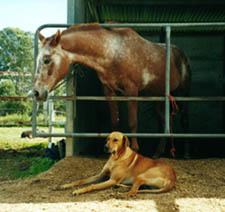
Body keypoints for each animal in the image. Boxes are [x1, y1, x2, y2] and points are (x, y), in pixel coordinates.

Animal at [30, 23, 192, 157]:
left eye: (47, 59)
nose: (36, 92)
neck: (113, 52)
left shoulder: (131, 91)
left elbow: (133, 122)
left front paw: (134, 149)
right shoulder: (109, 92)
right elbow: (114, 122)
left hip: (183, 93)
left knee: (184, 121)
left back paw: (186, 154)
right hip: (160, 97)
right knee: (166, 122)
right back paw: (158, 153)